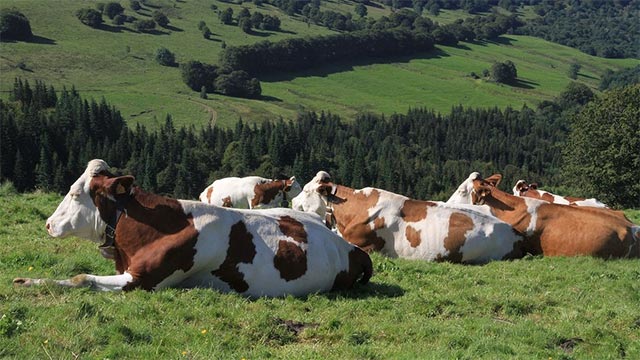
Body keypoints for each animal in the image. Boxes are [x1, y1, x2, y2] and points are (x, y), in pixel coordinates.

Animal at [12, 160, 372, 296]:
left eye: (75, 194)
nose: (48, 223)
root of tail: (348, 246)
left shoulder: (143, 281)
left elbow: (81, 278)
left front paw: (25, 281)